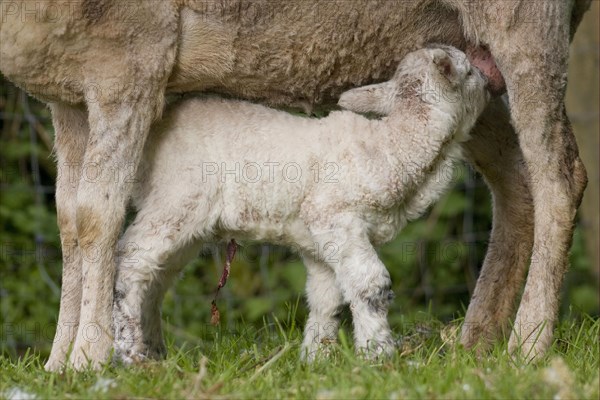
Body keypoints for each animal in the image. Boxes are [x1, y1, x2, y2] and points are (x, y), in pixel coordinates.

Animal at [115, 46, 490, 362]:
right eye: (470, 71)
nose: (489, 83)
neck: (392, 145)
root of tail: (157, 124)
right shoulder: (334, 215)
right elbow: (371, 284)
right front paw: (378, 354)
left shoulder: (318, 242)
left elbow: (327, 299)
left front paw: (316, 359)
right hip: (175, 199)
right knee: (131, 262)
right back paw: (129, 354)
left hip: (187, 222)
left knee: (156, 279)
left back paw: (155, 353)